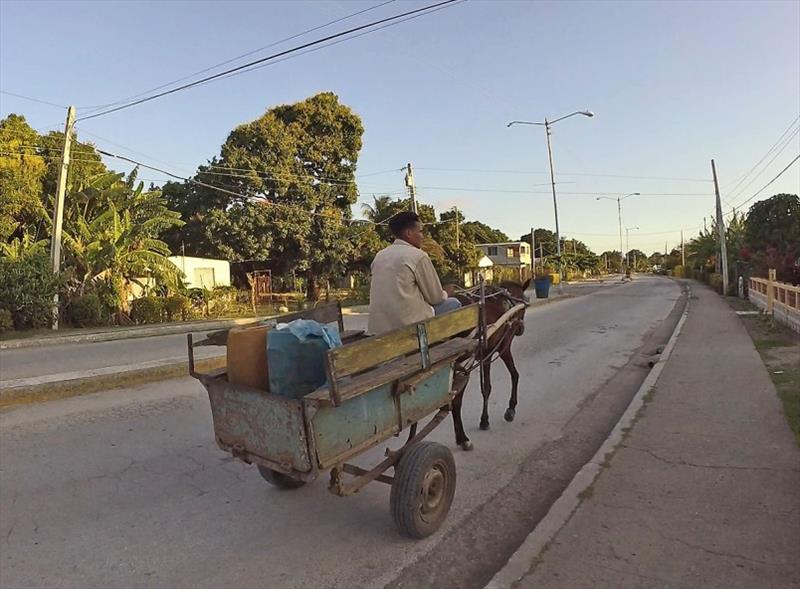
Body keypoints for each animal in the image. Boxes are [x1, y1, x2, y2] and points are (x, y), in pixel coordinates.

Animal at [450, 280, 532, 450]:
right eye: (523, 307)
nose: (520, 329)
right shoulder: (502, 348)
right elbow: (511, 376)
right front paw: (508, 410)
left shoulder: (484, 357)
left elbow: (486, 387)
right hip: (462, 366)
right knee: (456, 400)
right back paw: (463, 438)